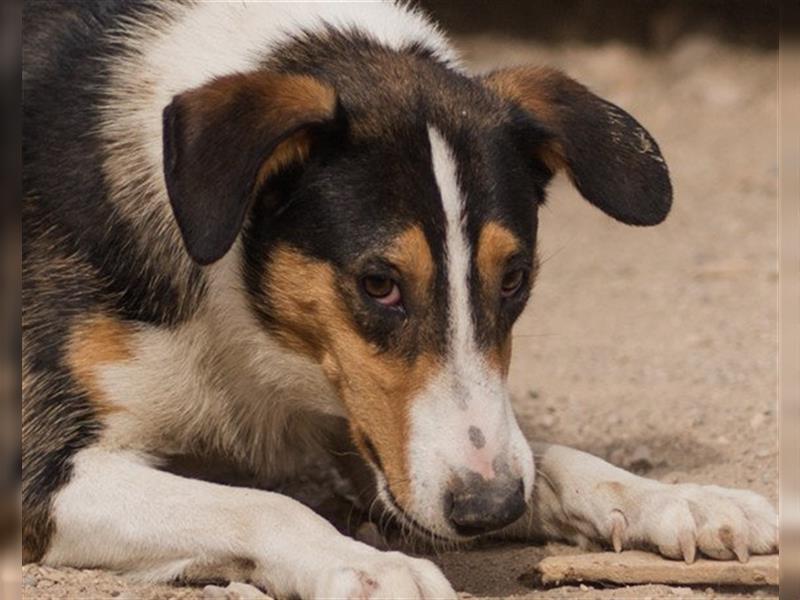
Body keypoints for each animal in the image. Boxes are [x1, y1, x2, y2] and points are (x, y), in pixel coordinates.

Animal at [21, 2, 780, 596]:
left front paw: (680, 498)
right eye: (378, 283)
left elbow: (548, 456)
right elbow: (262, 505)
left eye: (514, 278)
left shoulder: (373, 431)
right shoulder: (41, 474)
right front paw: (365, 565)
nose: (490, 509)